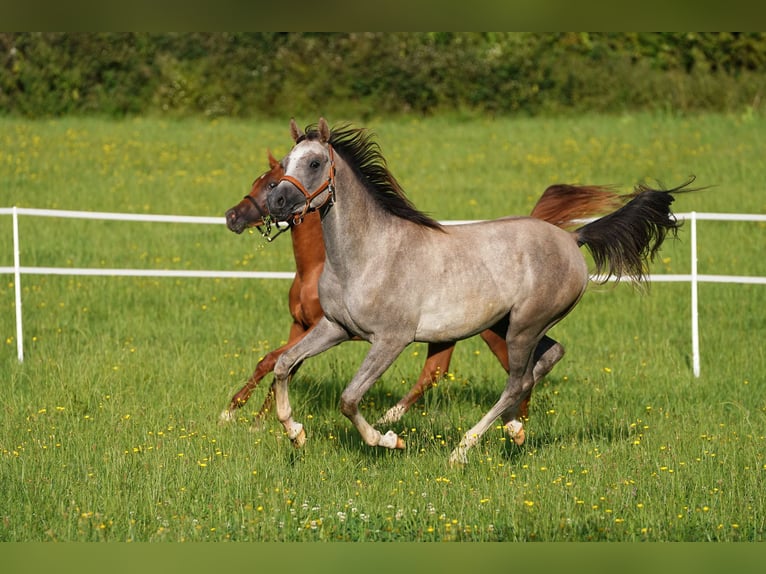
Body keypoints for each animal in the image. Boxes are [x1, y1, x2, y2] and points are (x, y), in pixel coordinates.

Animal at [264, 119, 696, 466]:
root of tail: (572, 239)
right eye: (284, 162)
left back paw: (463, 450)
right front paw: (295, 433)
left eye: (314, 163)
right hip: (512, 324)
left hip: (524, 326)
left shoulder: (390, 339)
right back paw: (514, 429)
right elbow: (284, 364)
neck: (368, 255)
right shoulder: (336, 326)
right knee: (547, 358)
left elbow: (350, 398)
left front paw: (389, 439)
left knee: (518, 379)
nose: (277, 201)